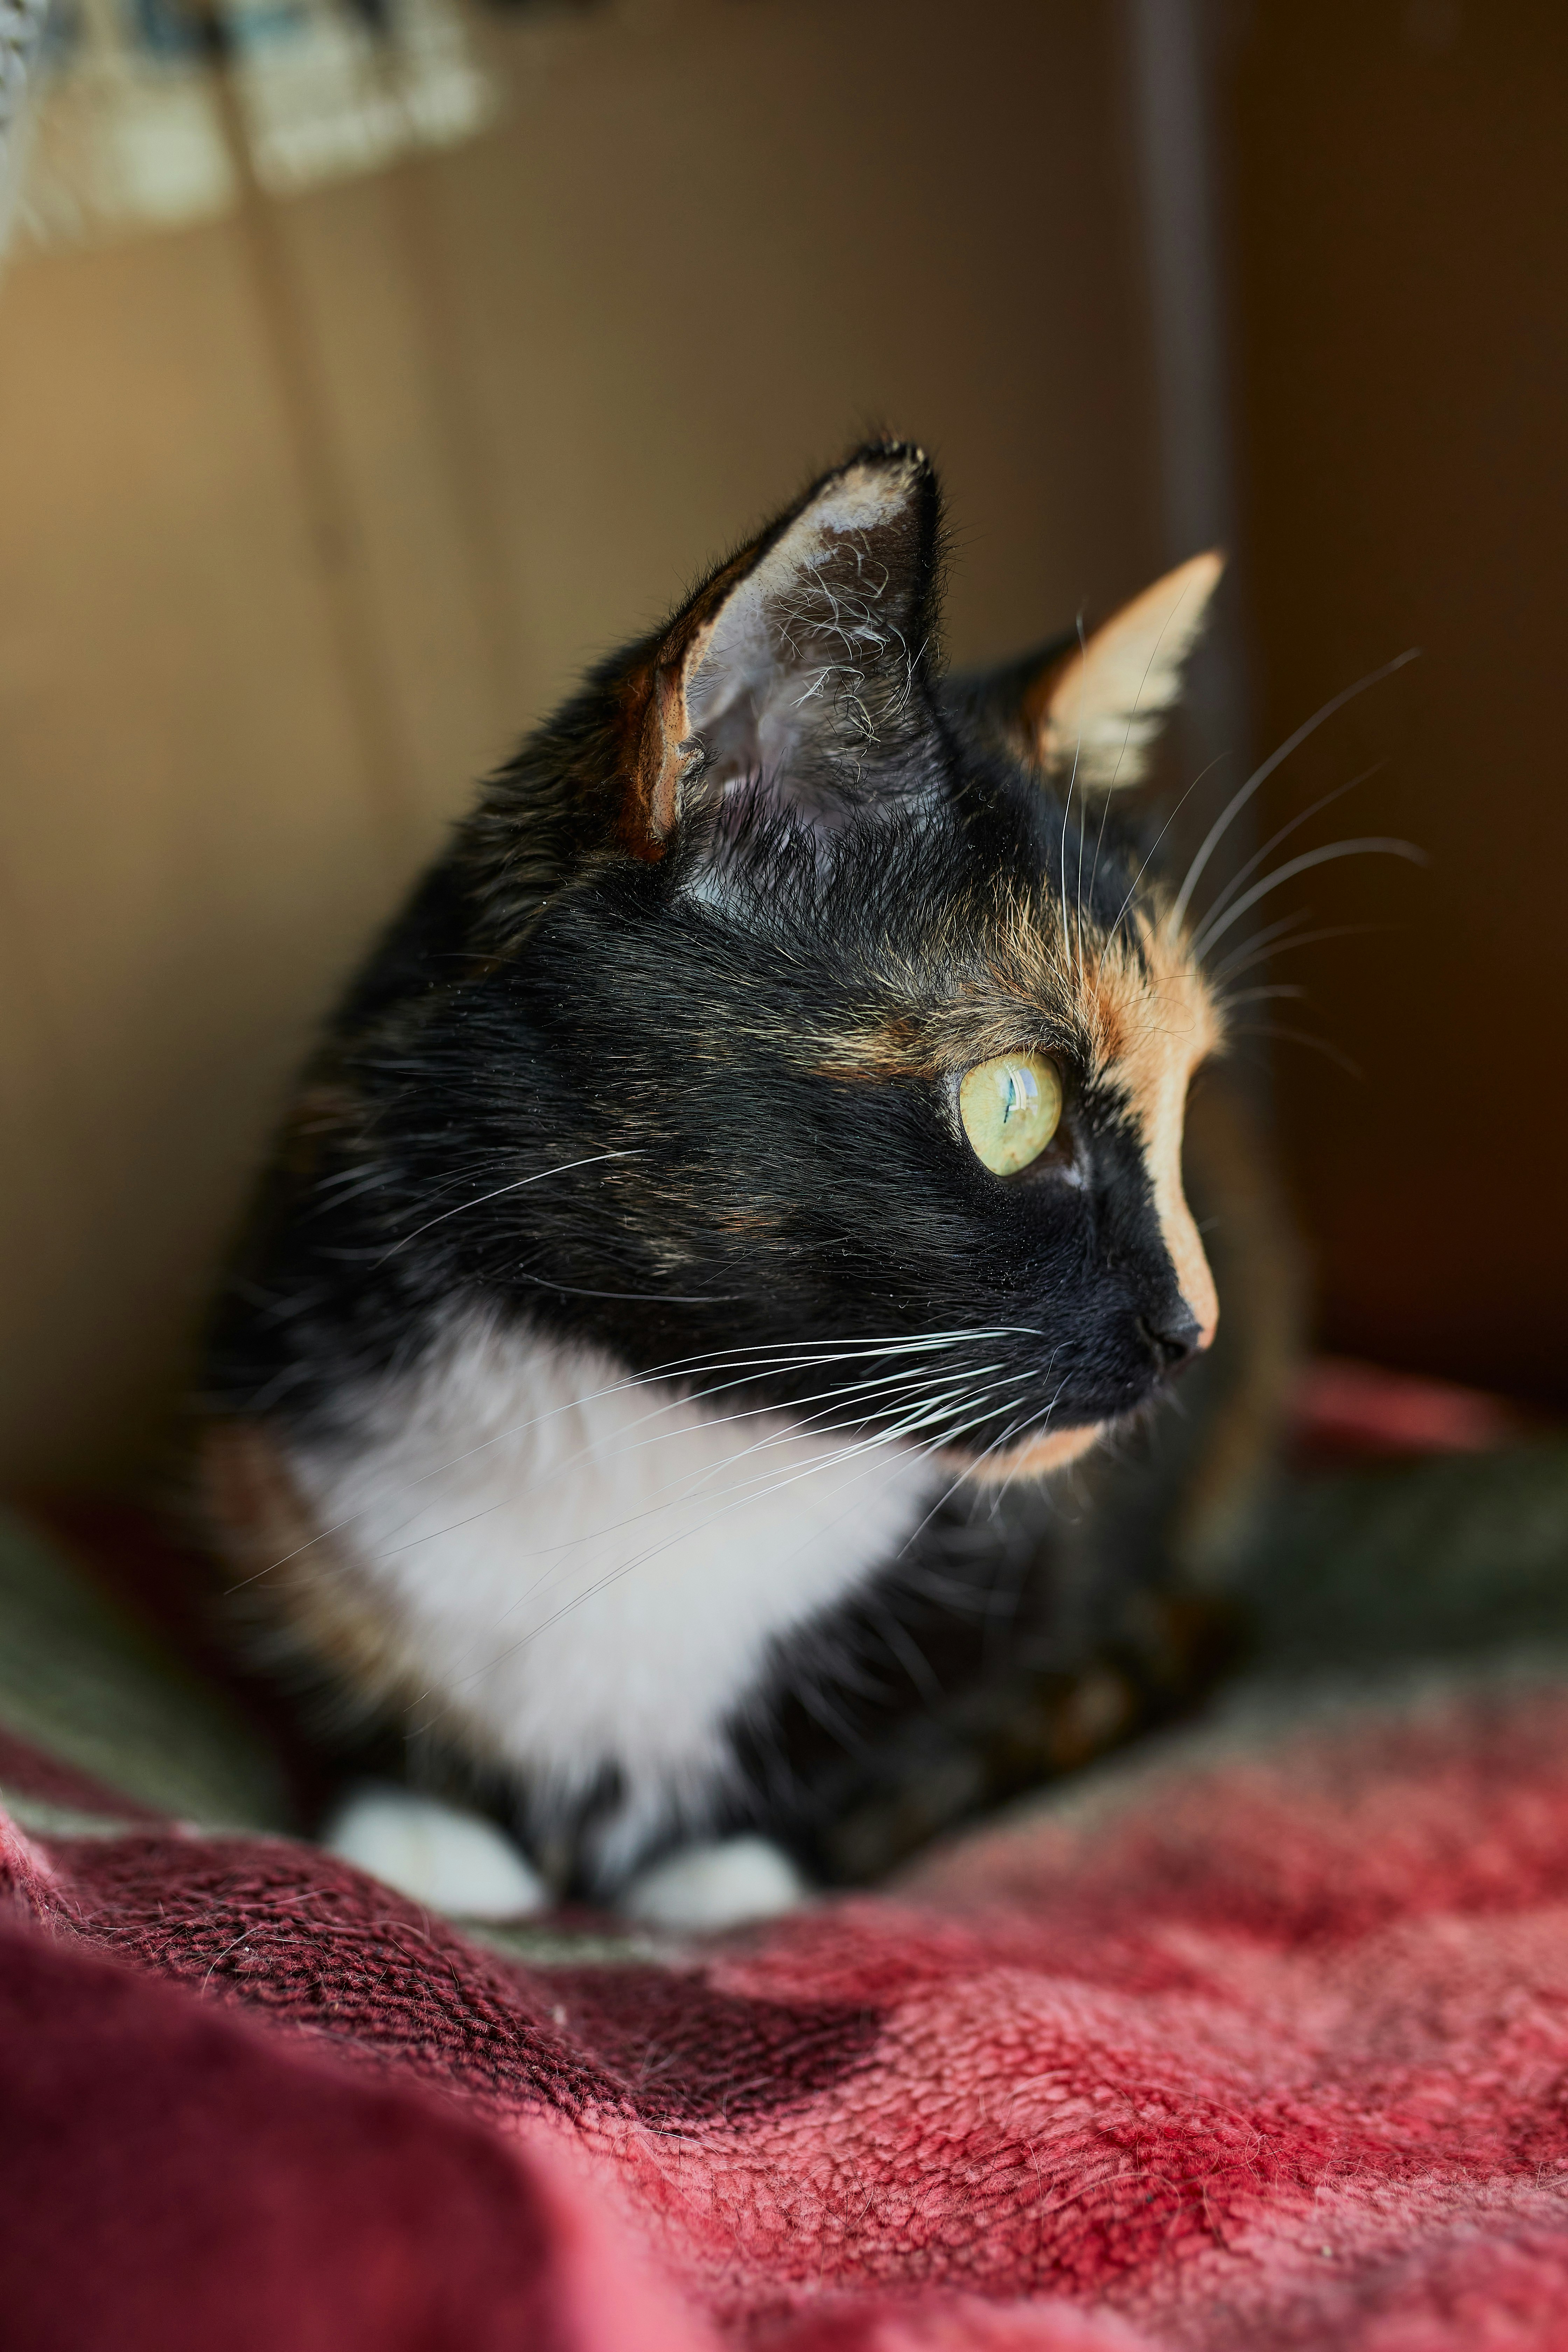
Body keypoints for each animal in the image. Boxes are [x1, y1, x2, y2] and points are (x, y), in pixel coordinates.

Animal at [202, 442, 1297, 1928]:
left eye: (1187, 1093)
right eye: (1014, 1104)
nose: (1197, 1329)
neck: (651, 1441)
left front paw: (726, 1868)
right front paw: (424, 1831)